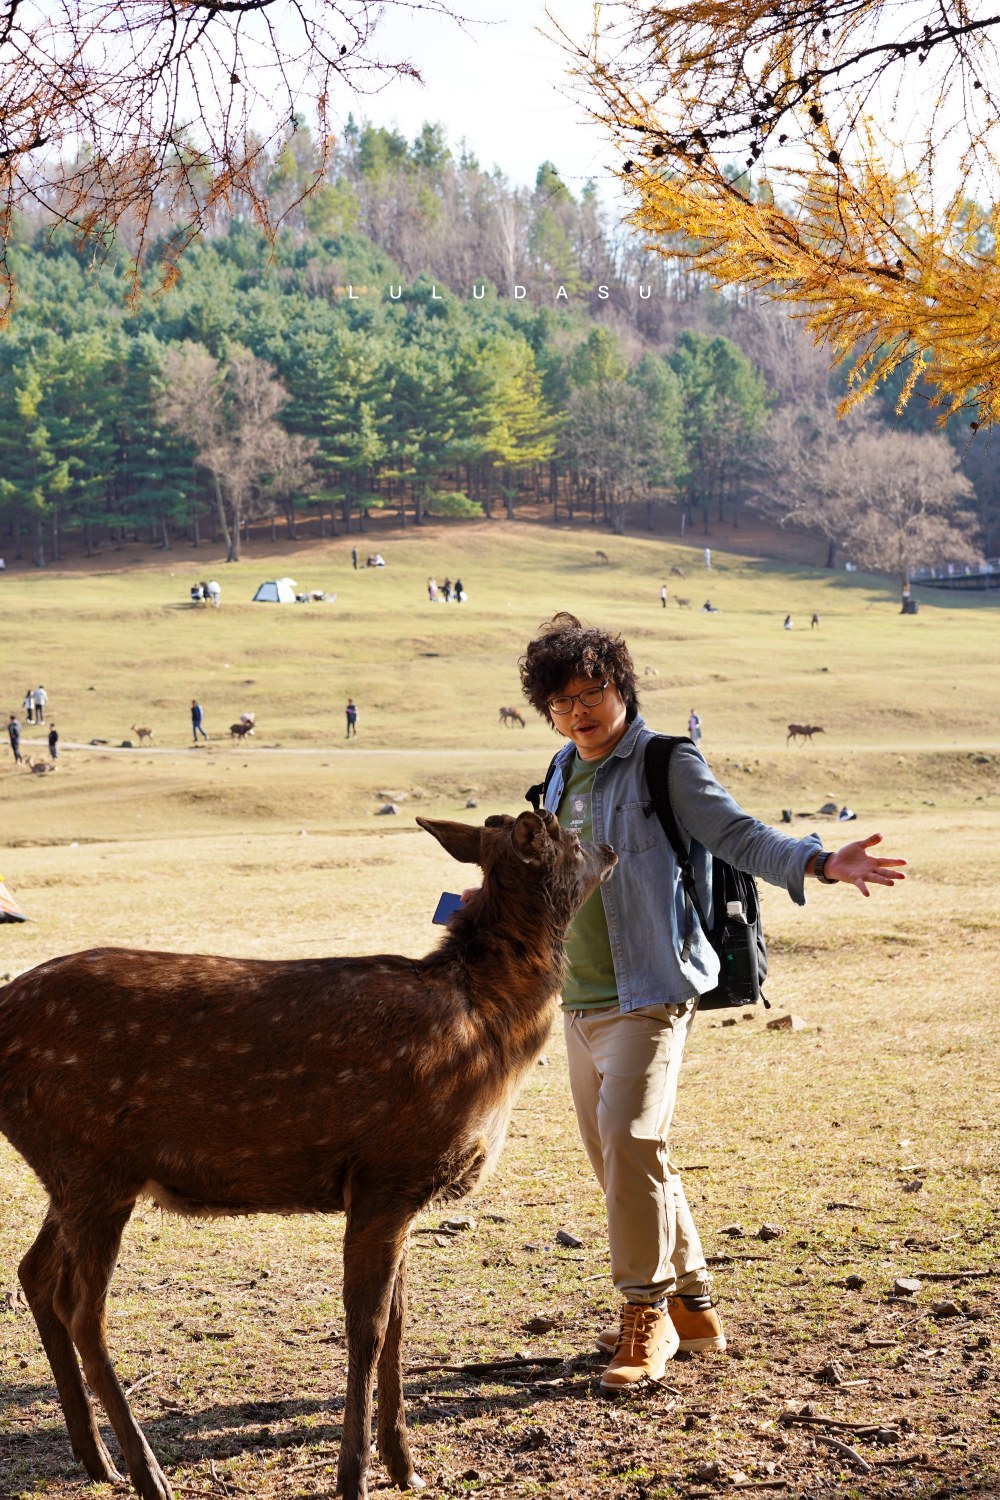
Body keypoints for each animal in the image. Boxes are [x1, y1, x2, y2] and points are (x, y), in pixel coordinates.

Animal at [0, 816, 614, 1500]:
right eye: (567, 834)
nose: (612, 847)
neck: (491, 1037)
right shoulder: (387, 1172)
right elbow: (368, 1328)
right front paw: (355, 1476)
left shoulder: (401, 1192)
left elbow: (400, 1320)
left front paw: (405, 1465)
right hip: (90, 1163)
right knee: (83, 1309)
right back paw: (147, 1472)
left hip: (77, 1173)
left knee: (34, 1272)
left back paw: (96, 1458)